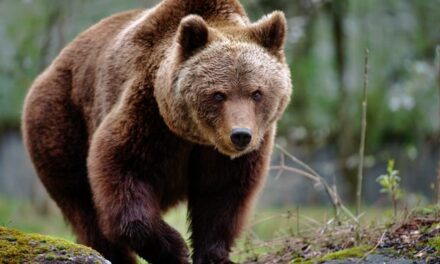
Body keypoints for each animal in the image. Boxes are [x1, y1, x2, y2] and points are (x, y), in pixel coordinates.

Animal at [23, 1, 292, 262]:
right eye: (218, 94)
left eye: (256, 93)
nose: (240, 135)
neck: (194, 136)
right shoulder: (149, 115)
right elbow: (122, 167)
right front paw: (175, 248)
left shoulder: (227, 154)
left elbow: (221, 195)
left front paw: (213, 255)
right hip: (62, 120)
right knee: (81, 202)